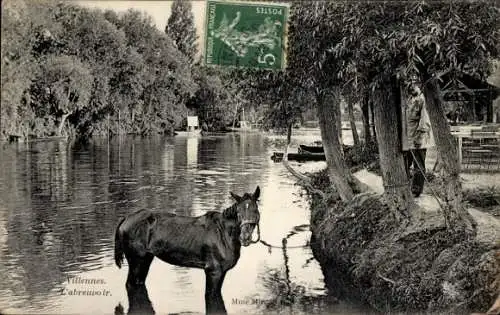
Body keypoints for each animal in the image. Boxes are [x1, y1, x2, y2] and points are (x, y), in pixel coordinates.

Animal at [114, 186, 262, 314]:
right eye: (238, 212)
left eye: (255, 210)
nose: (245, 237)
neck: (223, 232)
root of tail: (126, 218)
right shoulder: (213, 272)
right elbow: (212, 297)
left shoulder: (221, 273)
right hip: (137, 261)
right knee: (131, 285)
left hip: (145, 260)